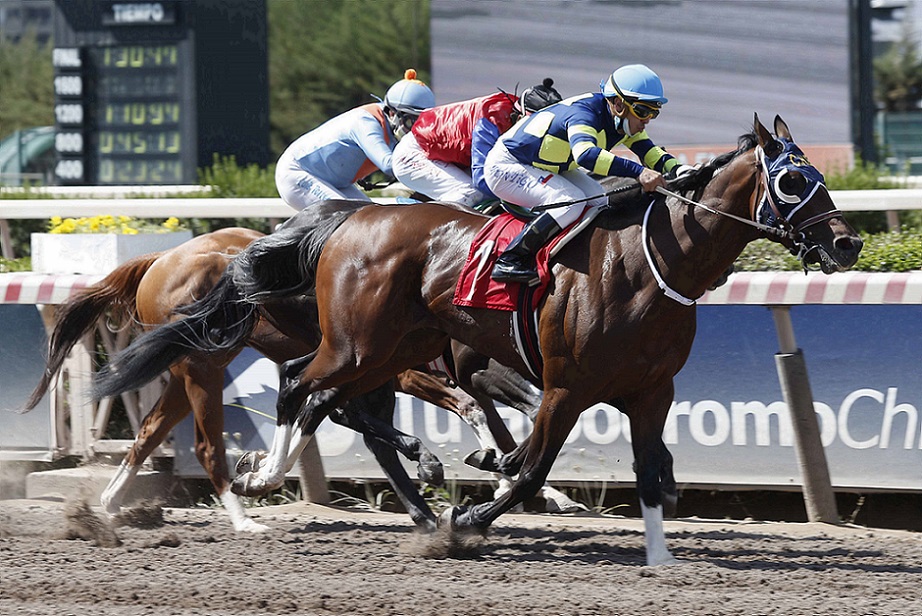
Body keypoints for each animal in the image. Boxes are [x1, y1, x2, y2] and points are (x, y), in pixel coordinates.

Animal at [120, 114, 861, 565]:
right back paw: (265, 478)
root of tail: (347, 221)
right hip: (358, 346)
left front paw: (659, 557)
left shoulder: (651, 389)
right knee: (304, 388)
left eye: (818, 177)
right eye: (792, 178)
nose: (847, 244)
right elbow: (531, 461)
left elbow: (651, 477)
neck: (648, 264)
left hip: (390, 349)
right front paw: (472, 515)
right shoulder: (560, 383)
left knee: (322, 397)